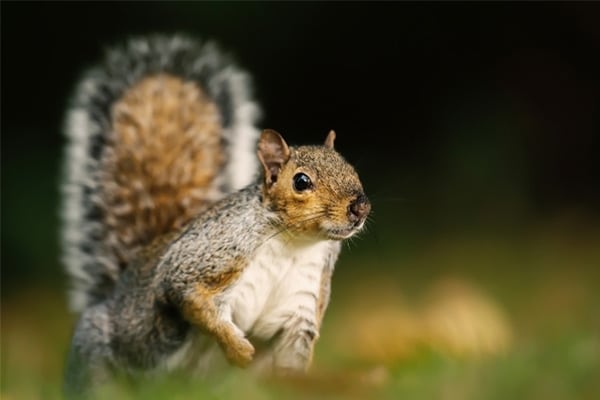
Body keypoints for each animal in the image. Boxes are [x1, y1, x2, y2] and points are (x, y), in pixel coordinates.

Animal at [61, 35, 370, 396]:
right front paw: (236, 348)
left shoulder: (302, 304)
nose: (360, 206)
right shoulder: (209, 254)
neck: (294, 244)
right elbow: (190, 297)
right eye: (301, 181)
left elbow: (292, 360)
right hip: (97, 351)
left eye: (352, 169)